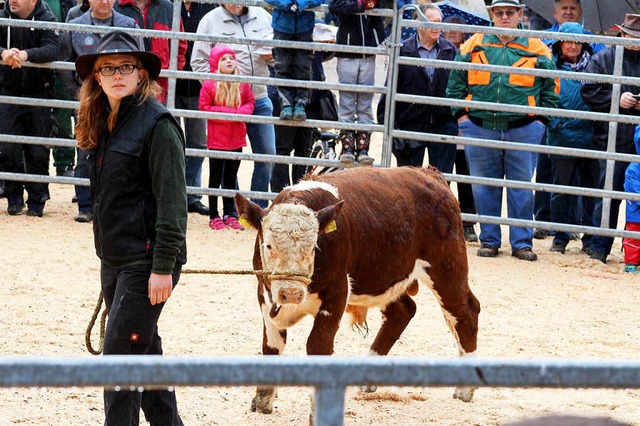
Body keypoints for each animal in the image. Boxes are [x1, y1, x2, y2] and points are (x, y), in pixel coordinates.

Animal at [235, 166, 480, 416]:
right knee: (402, 311)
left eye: (313, 247)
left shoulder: (336, 295)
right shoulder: (264, 293)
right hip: (385, 276)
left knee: (466, 312)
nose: (291, 293)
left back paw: (465, 388)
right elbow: (272, 345)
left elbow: (317, 345)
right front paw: (263, 399)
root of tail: (430, 174)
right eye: (268, 245)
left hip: (447, 269)